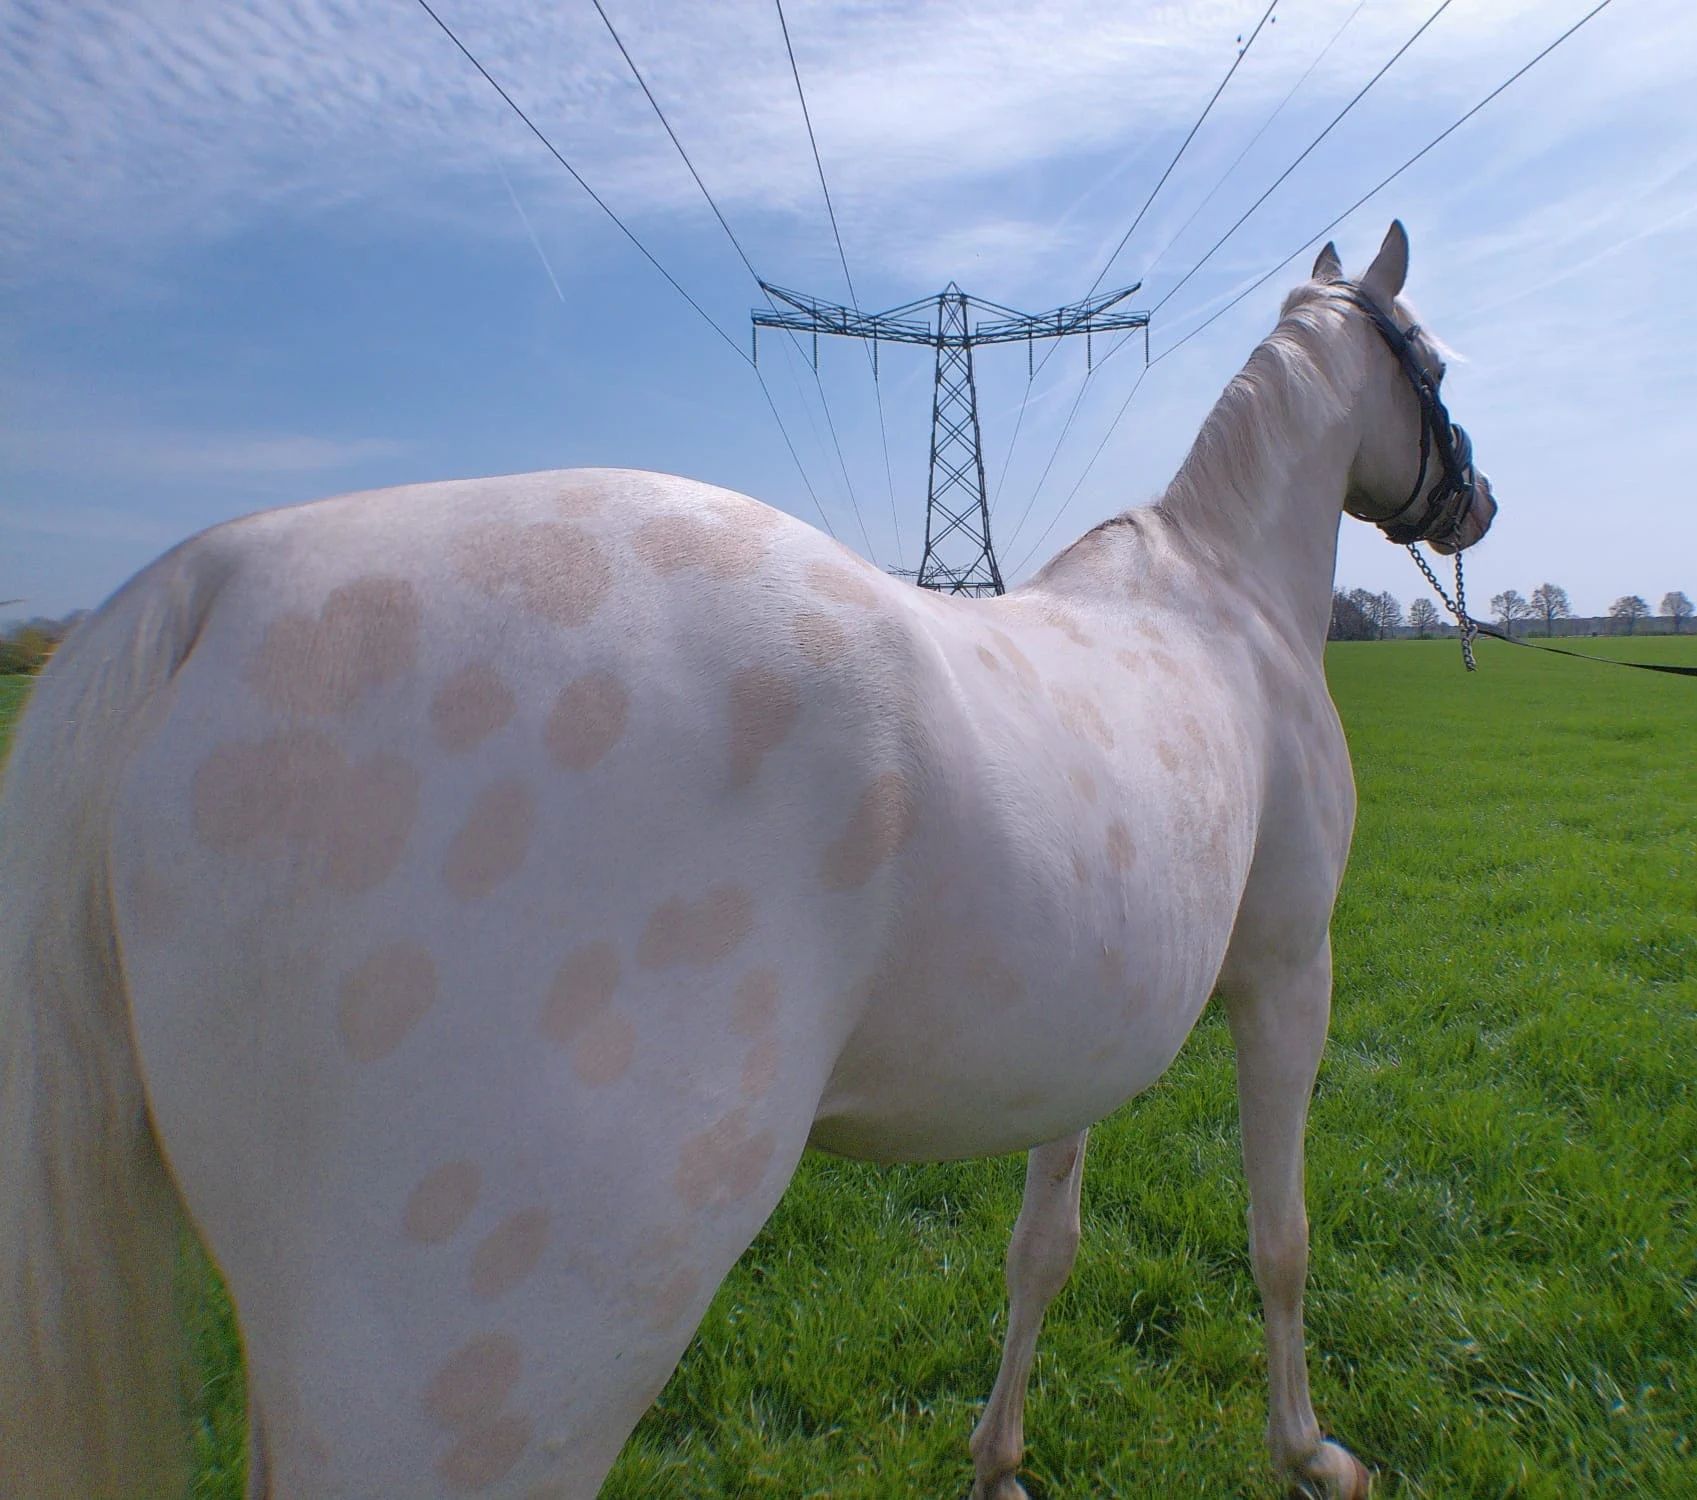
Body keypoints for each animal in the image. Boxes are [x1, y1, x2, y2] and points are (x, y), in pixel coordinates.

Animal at [0, 220, 1493, 1498]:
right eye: (1427, 357)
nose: (1472, 501)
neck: (1220, 598)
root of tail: (215, 582)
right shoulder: (1287, 979)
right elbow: (1281, 1240)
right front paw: (1311, 1455)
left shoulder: (1085, 1036)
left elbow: (1041, 1251)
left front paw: (997, 1455)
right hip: (484, 1382)